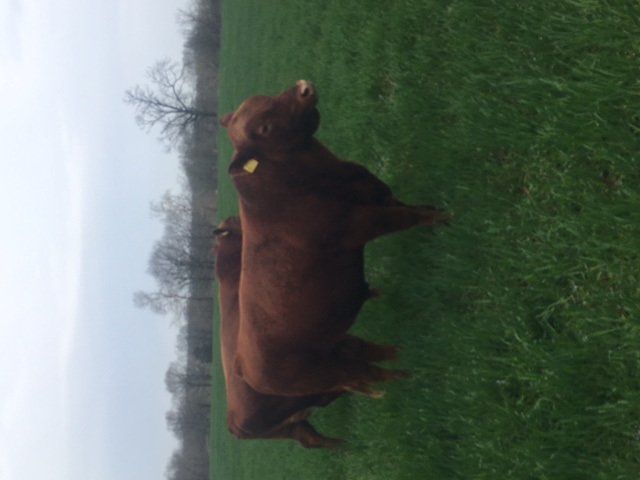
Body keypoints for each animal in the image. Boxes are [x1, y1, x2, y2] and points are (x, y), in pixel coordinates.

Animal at [220, 80, 447, 398]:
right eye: (264, 128)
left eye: (266, 98)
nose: (303, 87)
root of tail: (243, 367)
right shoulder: (362, 223)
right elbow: (406, 217)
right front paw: (441, 219)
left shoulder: (378, 194)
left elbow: (407, 207)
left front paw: (434, 211)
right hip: (328, 372)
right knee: (368, 373)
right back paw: (407, 373)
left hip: (337, 344)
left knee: (366, 352)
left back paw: (405, 352)